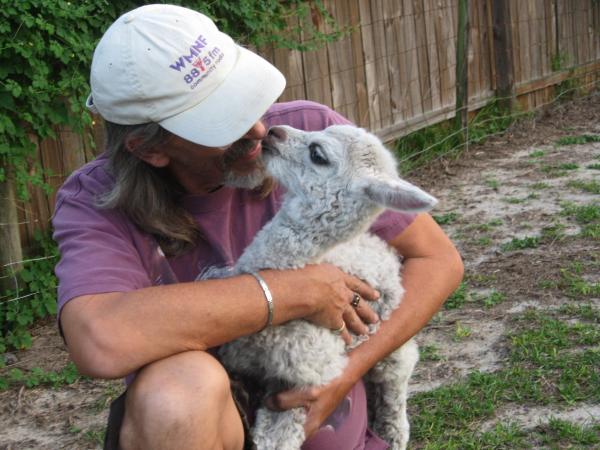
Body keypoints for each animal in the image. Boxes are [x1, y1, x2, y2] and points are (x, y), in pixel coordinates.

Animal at [202, 124, 436, 450]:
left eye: (318, 154)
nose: (274, 131)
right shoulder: (236, 355)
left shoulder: (304, 383)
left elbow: (277, 438)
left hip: (394, 352)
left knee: (395, 407)